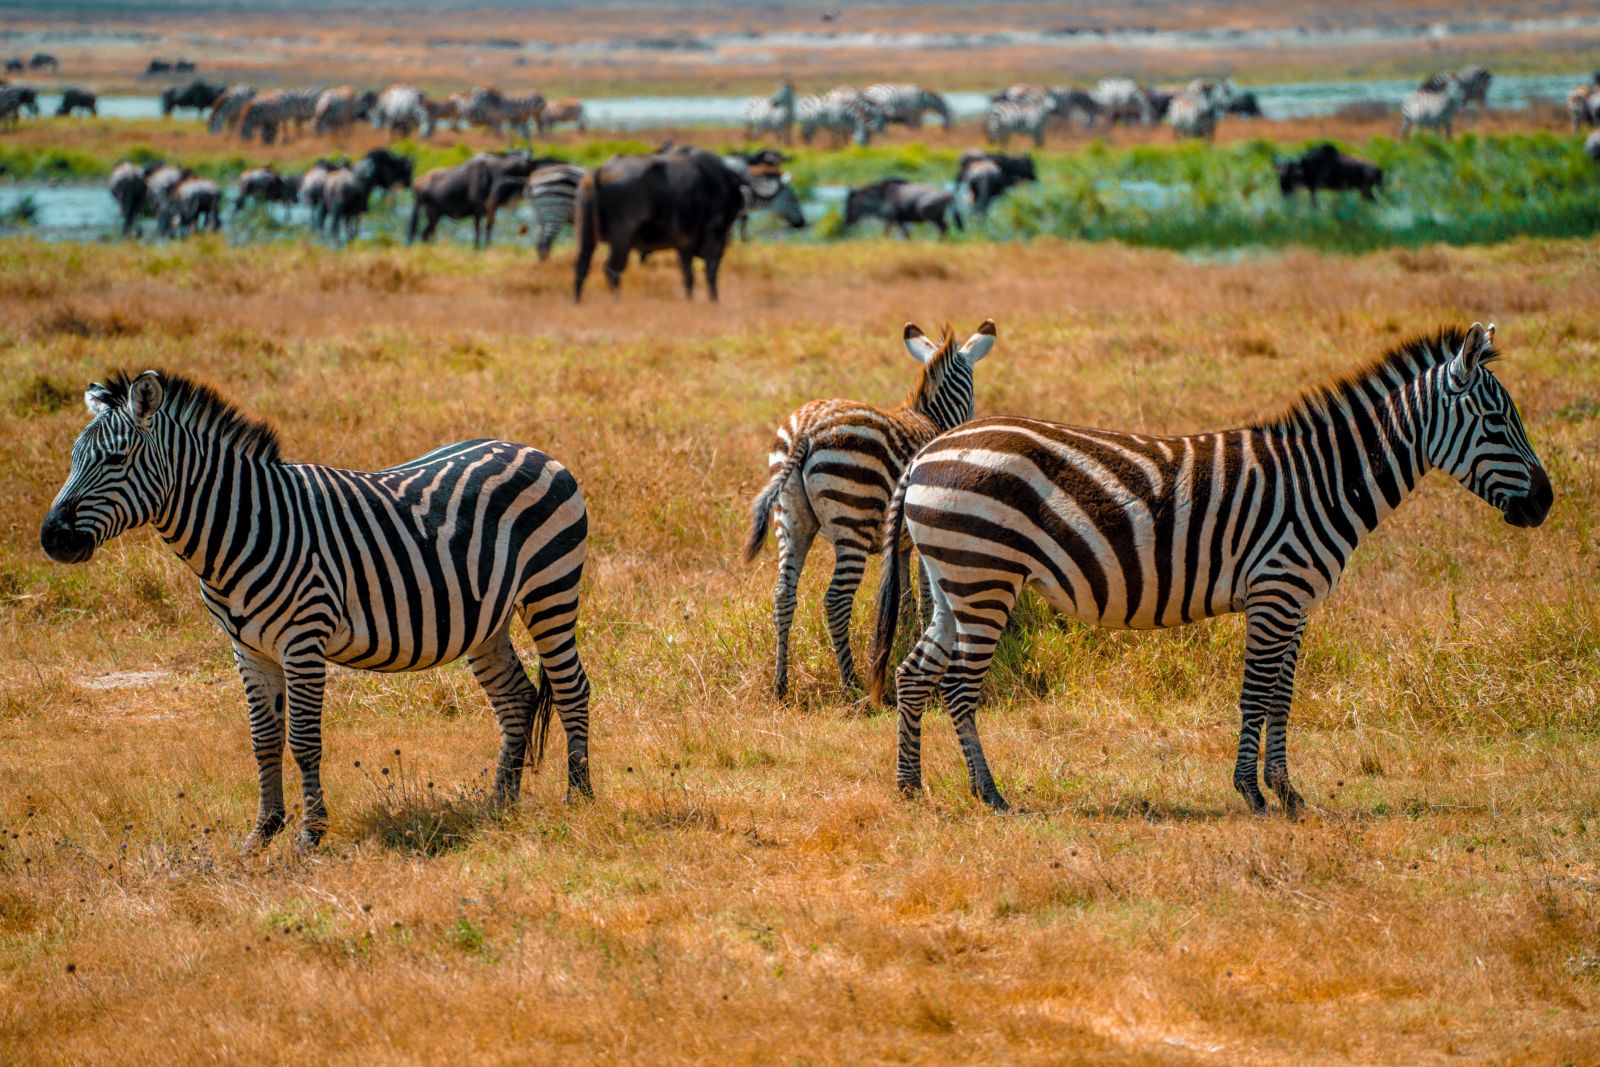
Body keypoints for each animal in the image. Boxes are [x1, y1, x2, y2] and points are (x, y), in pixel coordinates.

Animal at [40, 371, 594, 851]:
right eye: (73, 458)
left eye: (117, 459)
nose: (52, 539)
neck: (242, 526)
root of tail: (531, 449)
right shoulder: (248, 648)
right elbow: (263, 739)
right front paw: (263, 831)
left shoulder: (302, 641)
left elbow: (303, 741)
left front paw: (309, 836)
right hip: (485, 618)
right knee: (516, 698)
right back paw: (500, 804)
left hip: (550, 590)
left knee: (571, 687)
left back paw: (580, 798)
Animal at [745, 321, 997, 698]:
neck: (930, 417)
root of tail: (806, 431)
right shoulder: (921, 532)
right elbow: (924, 595)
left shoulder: (902, 543)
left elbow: (904, 595)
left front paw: (905, 634)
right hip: (853, 520)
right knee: (836, 601)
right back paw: (851, 684)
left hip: (789, 518)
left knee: (783, 595)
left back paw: (780, 684)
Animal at [867, 324, 1552, 814]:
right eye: (1498, 421)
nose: (1546, 503)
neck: (1325, 481)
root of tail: (929, 449)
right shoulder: (1276, 591)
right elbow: (1255, 694)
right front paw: (1252, 792)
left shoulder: (1296, 602)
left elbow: (1282, 697)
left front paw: (1288, 793)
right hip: (985, 576)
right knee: (958, 685)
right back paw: (990, 795)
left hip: (952, 580)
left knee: (913, 673)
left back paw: (910, 787)